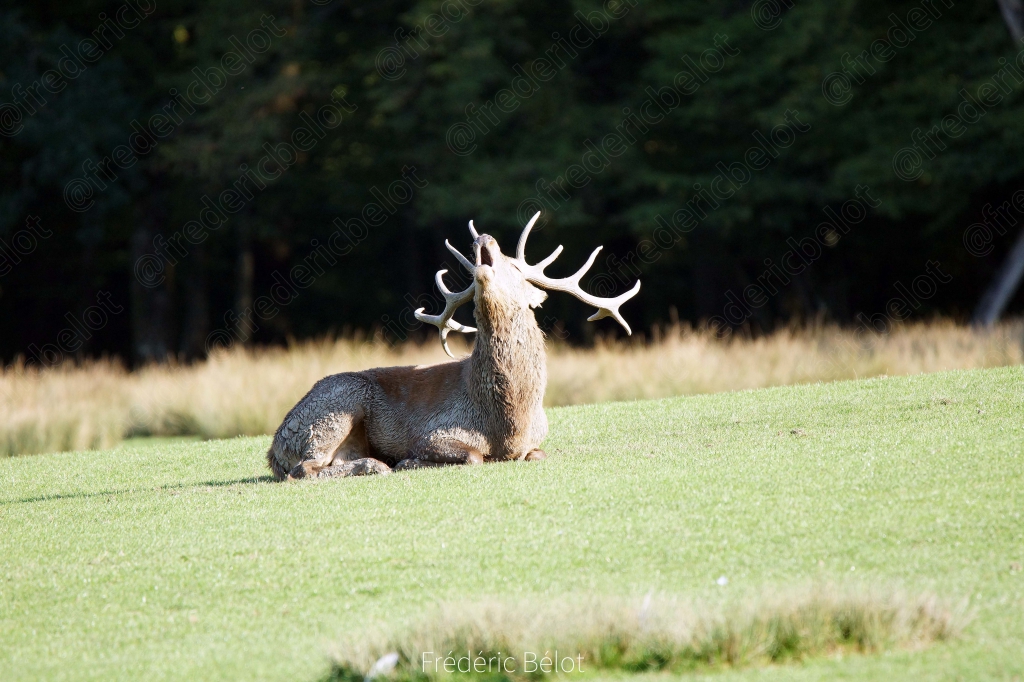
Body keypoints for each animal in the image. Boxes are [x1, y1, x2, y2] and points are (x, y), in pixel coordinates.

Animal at [266, 212, 640, 480]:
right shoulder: (433, 431)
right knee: (302, 469)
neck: (509, 422)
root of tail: (273, 446)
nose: (483, 237)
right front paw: (409, 462)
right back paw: (376, 465)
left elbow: (538, 453)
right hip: (333, 410)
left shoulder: (536, 441)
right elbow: (473, 456)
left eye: (515, 267)